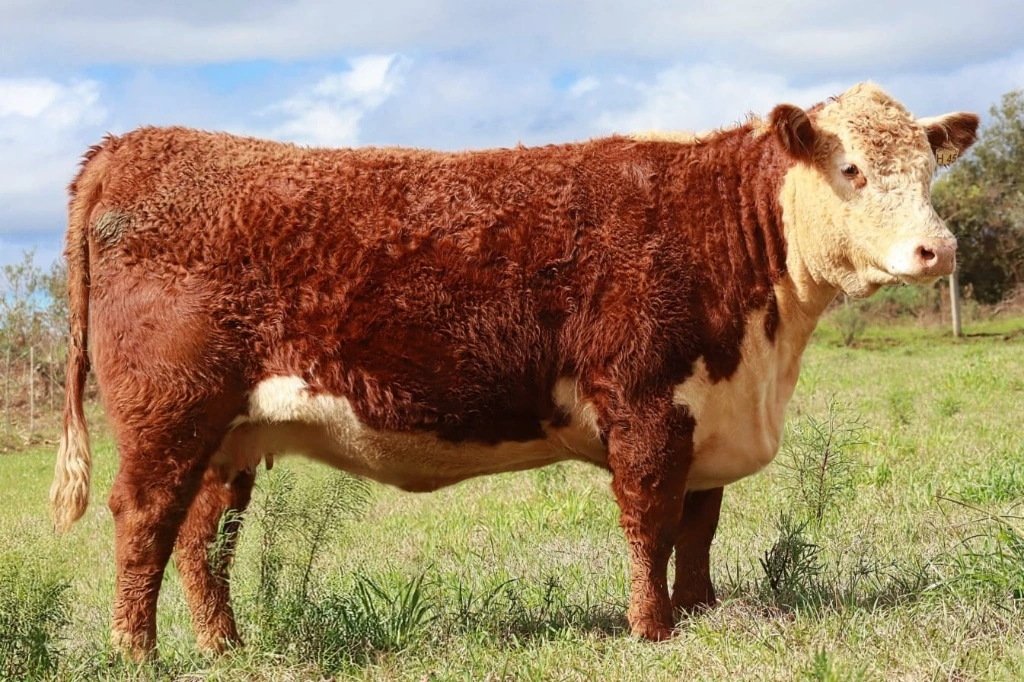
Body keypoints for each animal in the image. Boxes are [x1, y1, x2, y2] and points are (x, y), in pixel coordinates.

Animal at [49, 82, 978, 660]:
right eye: (852, 168)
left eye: (930, 169)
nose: (938, 250)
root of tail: (133, 143)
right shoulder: (644, 401)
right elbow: (649, 522)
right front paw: (653, 631)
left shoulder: (705, 404)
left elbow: (698, 526)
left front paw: (702, 612)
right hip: (170, 412)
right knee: (144, 521)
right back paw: (136, 651)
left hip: (229, 433)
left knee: (206, 535)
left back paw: (226, 647)